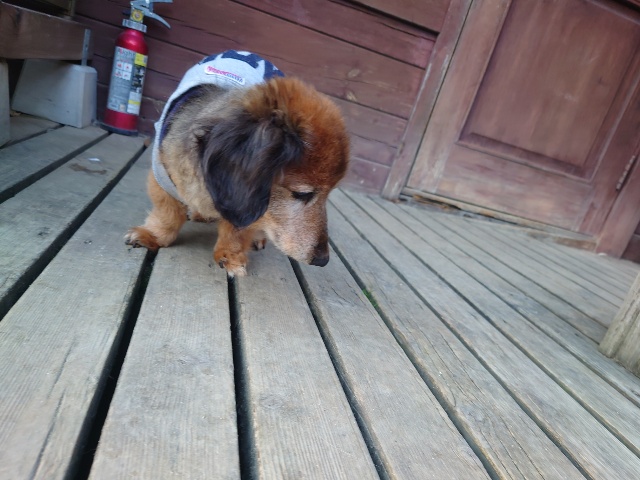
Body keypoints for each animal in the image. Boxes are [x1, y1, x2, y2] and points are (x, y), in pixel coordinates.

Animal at [125, 51, 349, 277]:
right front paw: (153, 235)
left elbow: (238, 229)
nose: (322, 260)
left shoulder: (249, 206)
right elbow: (167, 213)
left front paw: (230, 255)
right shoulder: (161, 177)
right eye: (303, 194)